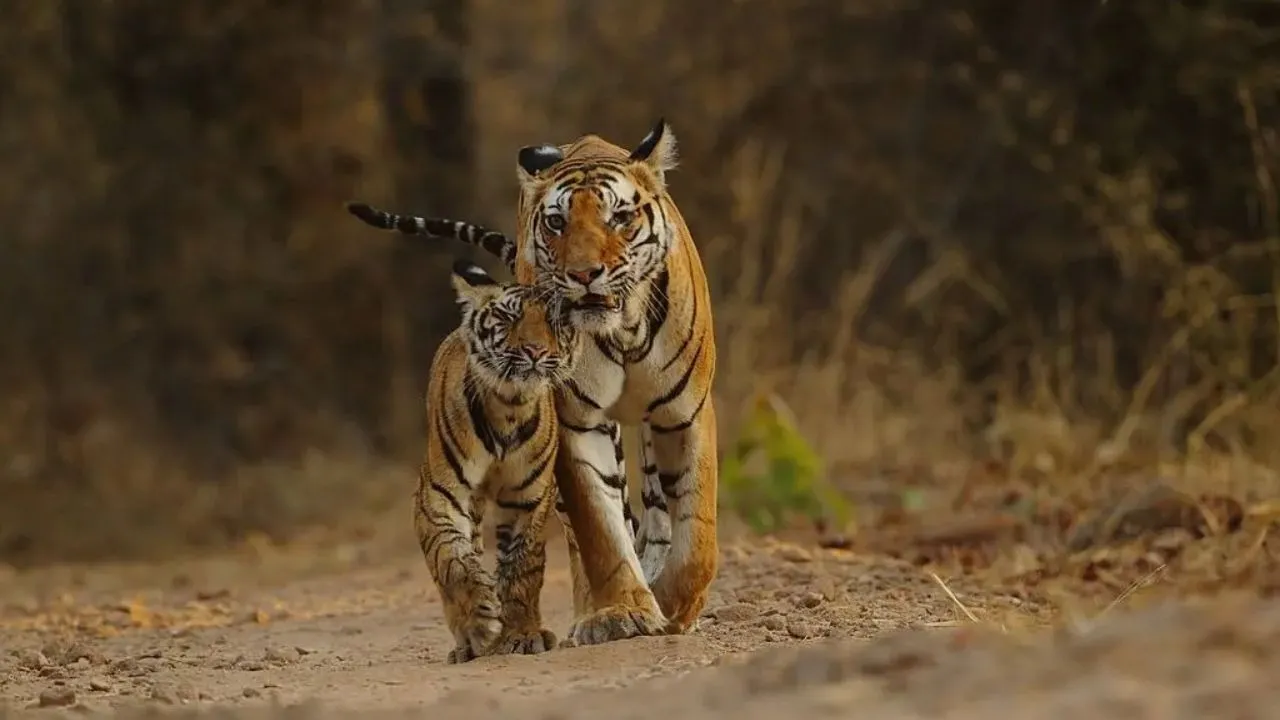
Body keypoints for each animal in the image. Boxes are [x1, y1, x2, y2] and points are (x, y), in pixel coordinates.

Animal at [414, 259, 580, 663]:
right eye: (509, 316)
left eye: (554, 321)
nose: (535, 351)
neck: (509, 407)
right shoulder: (438, 494)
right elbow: (452, 560)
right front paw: (480, 620)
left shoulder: (528, 499)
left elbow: (523, 569)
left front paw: (521, 635)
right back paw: (467, 643)